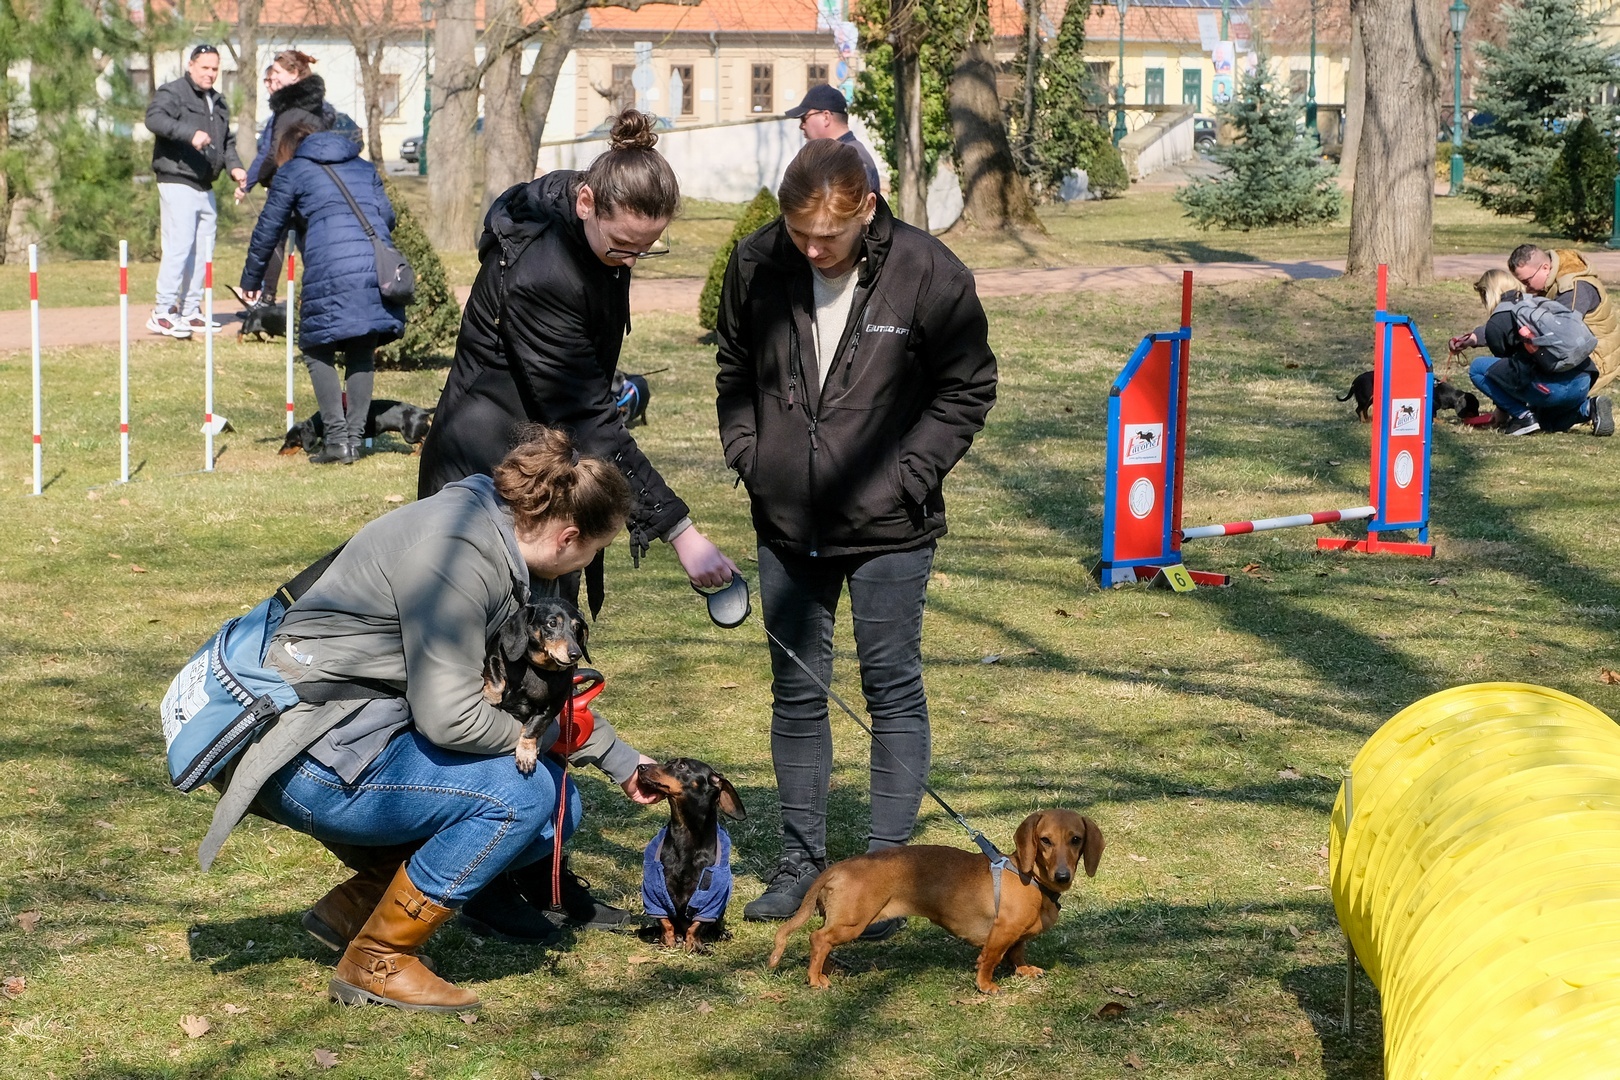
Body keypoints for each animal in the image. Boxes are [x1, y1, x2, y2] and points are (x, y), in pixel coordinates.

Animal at [480, 597, 590, 774]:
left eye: (577, 626)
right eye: (552, 623)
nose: (576, 654)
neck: (537, 668)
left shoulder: (549, 710)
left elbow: (532, 729)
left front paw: (526, 754)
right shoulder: (494, 656)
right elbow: (496, 679)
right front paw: (490, 696)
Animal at [634, 758, 746, 951]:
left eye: (681, 766)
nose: (640, 767)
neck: (685, 834)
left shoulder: (712, 894)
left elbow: (697, 925)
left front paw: (696, 947)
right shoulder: (655, 889)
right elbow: (665, 922)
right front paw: (667, 942)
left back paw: (720, 933)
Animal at [768, 808, 1104, 994]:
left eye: (1076, 839)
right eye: (1045, 840)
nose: (1063, 876)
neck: (1030, 877)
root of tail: (838, 868)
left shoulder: (1017, 936)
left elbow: (1017, 952)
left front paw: (1023, 969)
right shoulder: (1001, 932)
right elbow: (992, 958)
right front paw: (986, 985)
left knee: (823, 944)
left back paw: (825, 971)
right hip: (853, 922)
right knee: (818, 939)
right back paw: (815, 979)